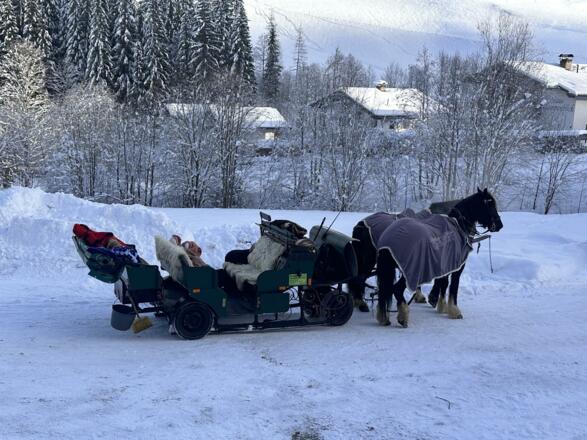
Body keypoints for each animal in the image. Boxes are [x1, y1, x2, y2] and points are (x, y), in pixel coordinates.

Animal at [376, 188, 503, 327]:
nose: (499, 225)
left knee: (385, 290)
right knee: (397, 289)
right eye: (489, 204)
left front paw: (441, 305)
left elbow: (443, 283)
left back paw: (384, 318)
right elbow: (453, 287)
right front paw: (454, 310)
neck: (459, 225)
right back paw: (403, 316)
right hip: (410, 271)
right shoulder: (457, 267)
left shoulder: (445, 264)